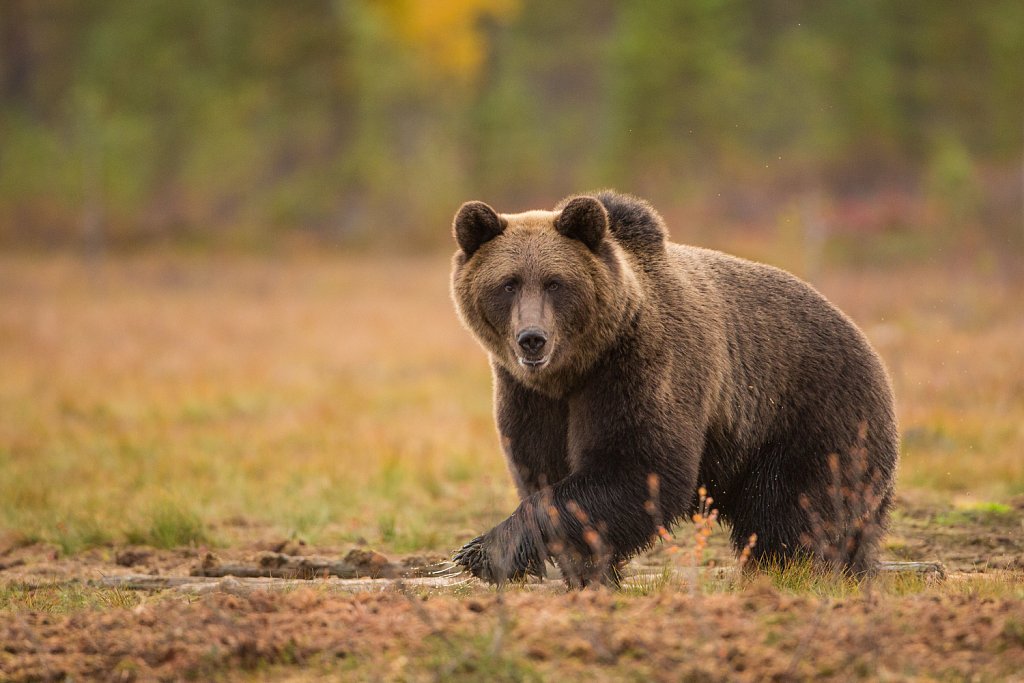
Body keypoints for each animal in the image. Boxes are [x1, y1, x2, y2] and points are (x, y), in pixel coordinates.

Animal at [452, 191, 901, 589]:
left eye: (555, 283)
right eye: (508, 284)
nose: (532, 339)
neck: (576, 369)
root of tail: (871, 350)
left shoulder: (640, 368)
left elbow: (638, 467)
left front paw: (482, 550)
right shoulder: (530, 397)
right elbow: (543, 467)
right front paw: (588, 572)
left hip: (811, 416)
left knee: (794, 512)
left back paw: (786, 572)